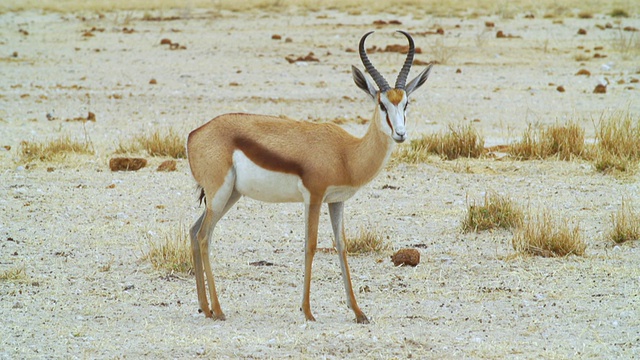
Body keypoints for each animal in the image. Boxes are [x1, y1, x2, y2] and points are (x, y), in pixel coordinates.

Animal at [188, 31, 432, 324]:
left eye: (406, 103)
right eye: (382, 104)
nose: (400, 134)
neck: (346, 154)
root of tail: (195, 134)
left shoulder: (336, 201)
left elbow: (341, 246)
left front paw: (358, 312)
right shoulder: (314, 197)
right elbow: (311, 246)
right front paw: (307, 310)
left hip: (230, 196)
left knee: (194, 232)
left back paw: (204, 307)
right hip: (220, 195)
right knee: (204, 236)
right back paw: (219, 310)